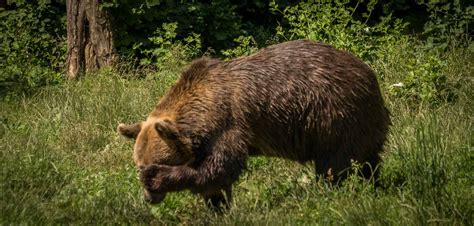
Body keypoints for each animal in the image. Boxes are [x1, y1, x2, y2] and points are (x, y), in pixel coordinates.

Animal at [117, 39, 388, 209]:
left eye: (153, 163)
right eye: (137, 164)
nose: (149, 198)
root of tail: (369, 73)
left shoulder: (229, 126)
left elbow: (218, 169)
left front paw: (163, 178)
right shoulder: (207, 140)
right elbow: (214, 181)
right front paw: (218, 206)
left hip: (335, 116)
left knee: (334, 165)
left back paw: (329, 192)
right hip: (361, 123)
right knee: (368, 161)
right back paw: (374, 185)